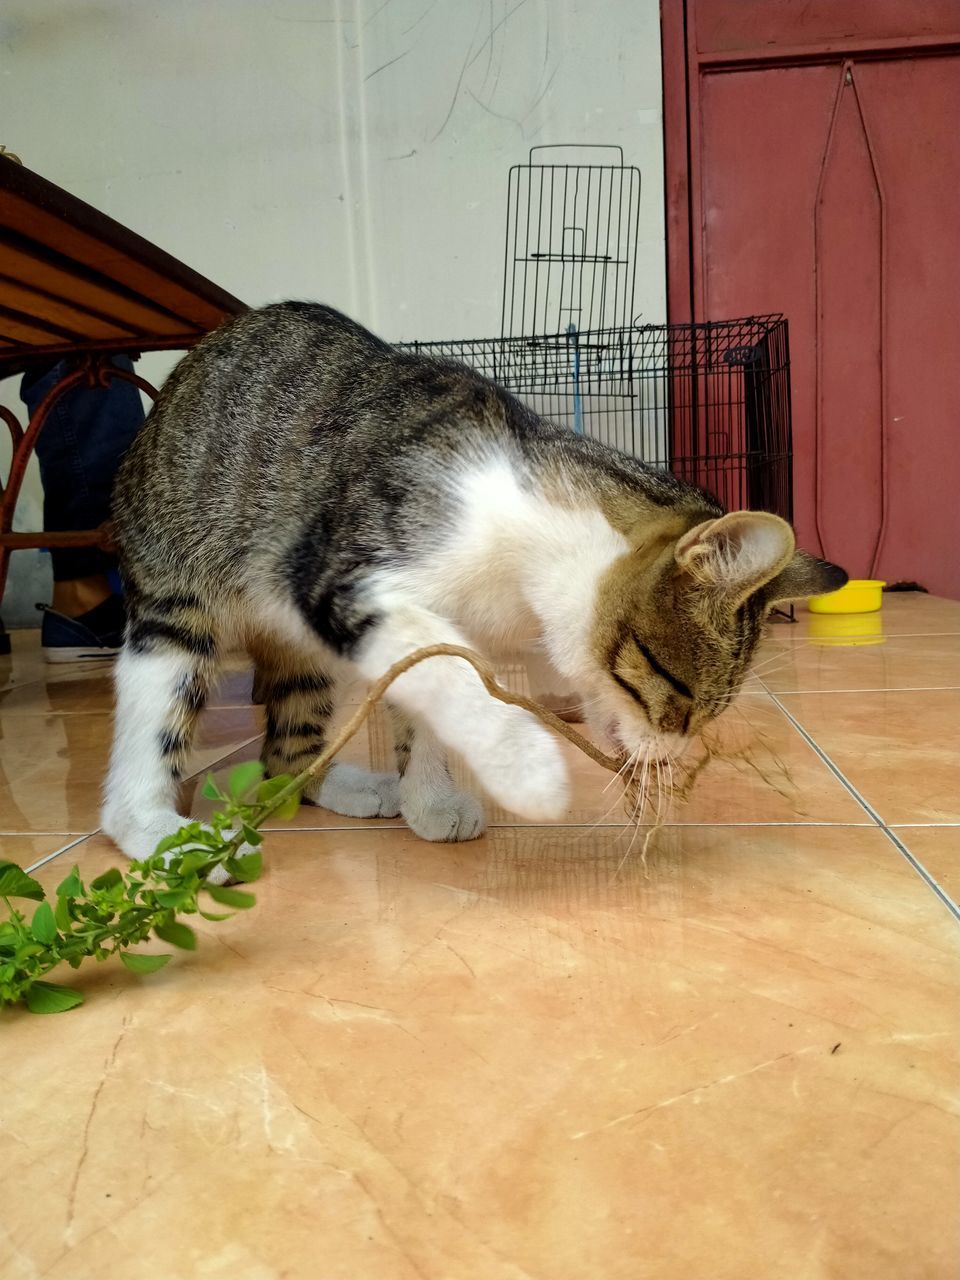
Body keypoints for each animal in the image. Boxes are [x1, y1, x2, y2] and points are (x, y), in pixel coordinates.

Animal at [101, 298, 844, 860]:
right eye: (681, 693)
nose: (669, 756)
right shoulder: (345, 579)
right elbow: (448, 677)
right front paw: (528, 772)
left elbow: (428, 690)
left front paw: (426, 798)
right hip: (178, 601)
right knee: (157, 707)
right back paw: (155, 831)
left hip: (303, 656)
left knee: (286, 750)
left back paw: (346, 786)